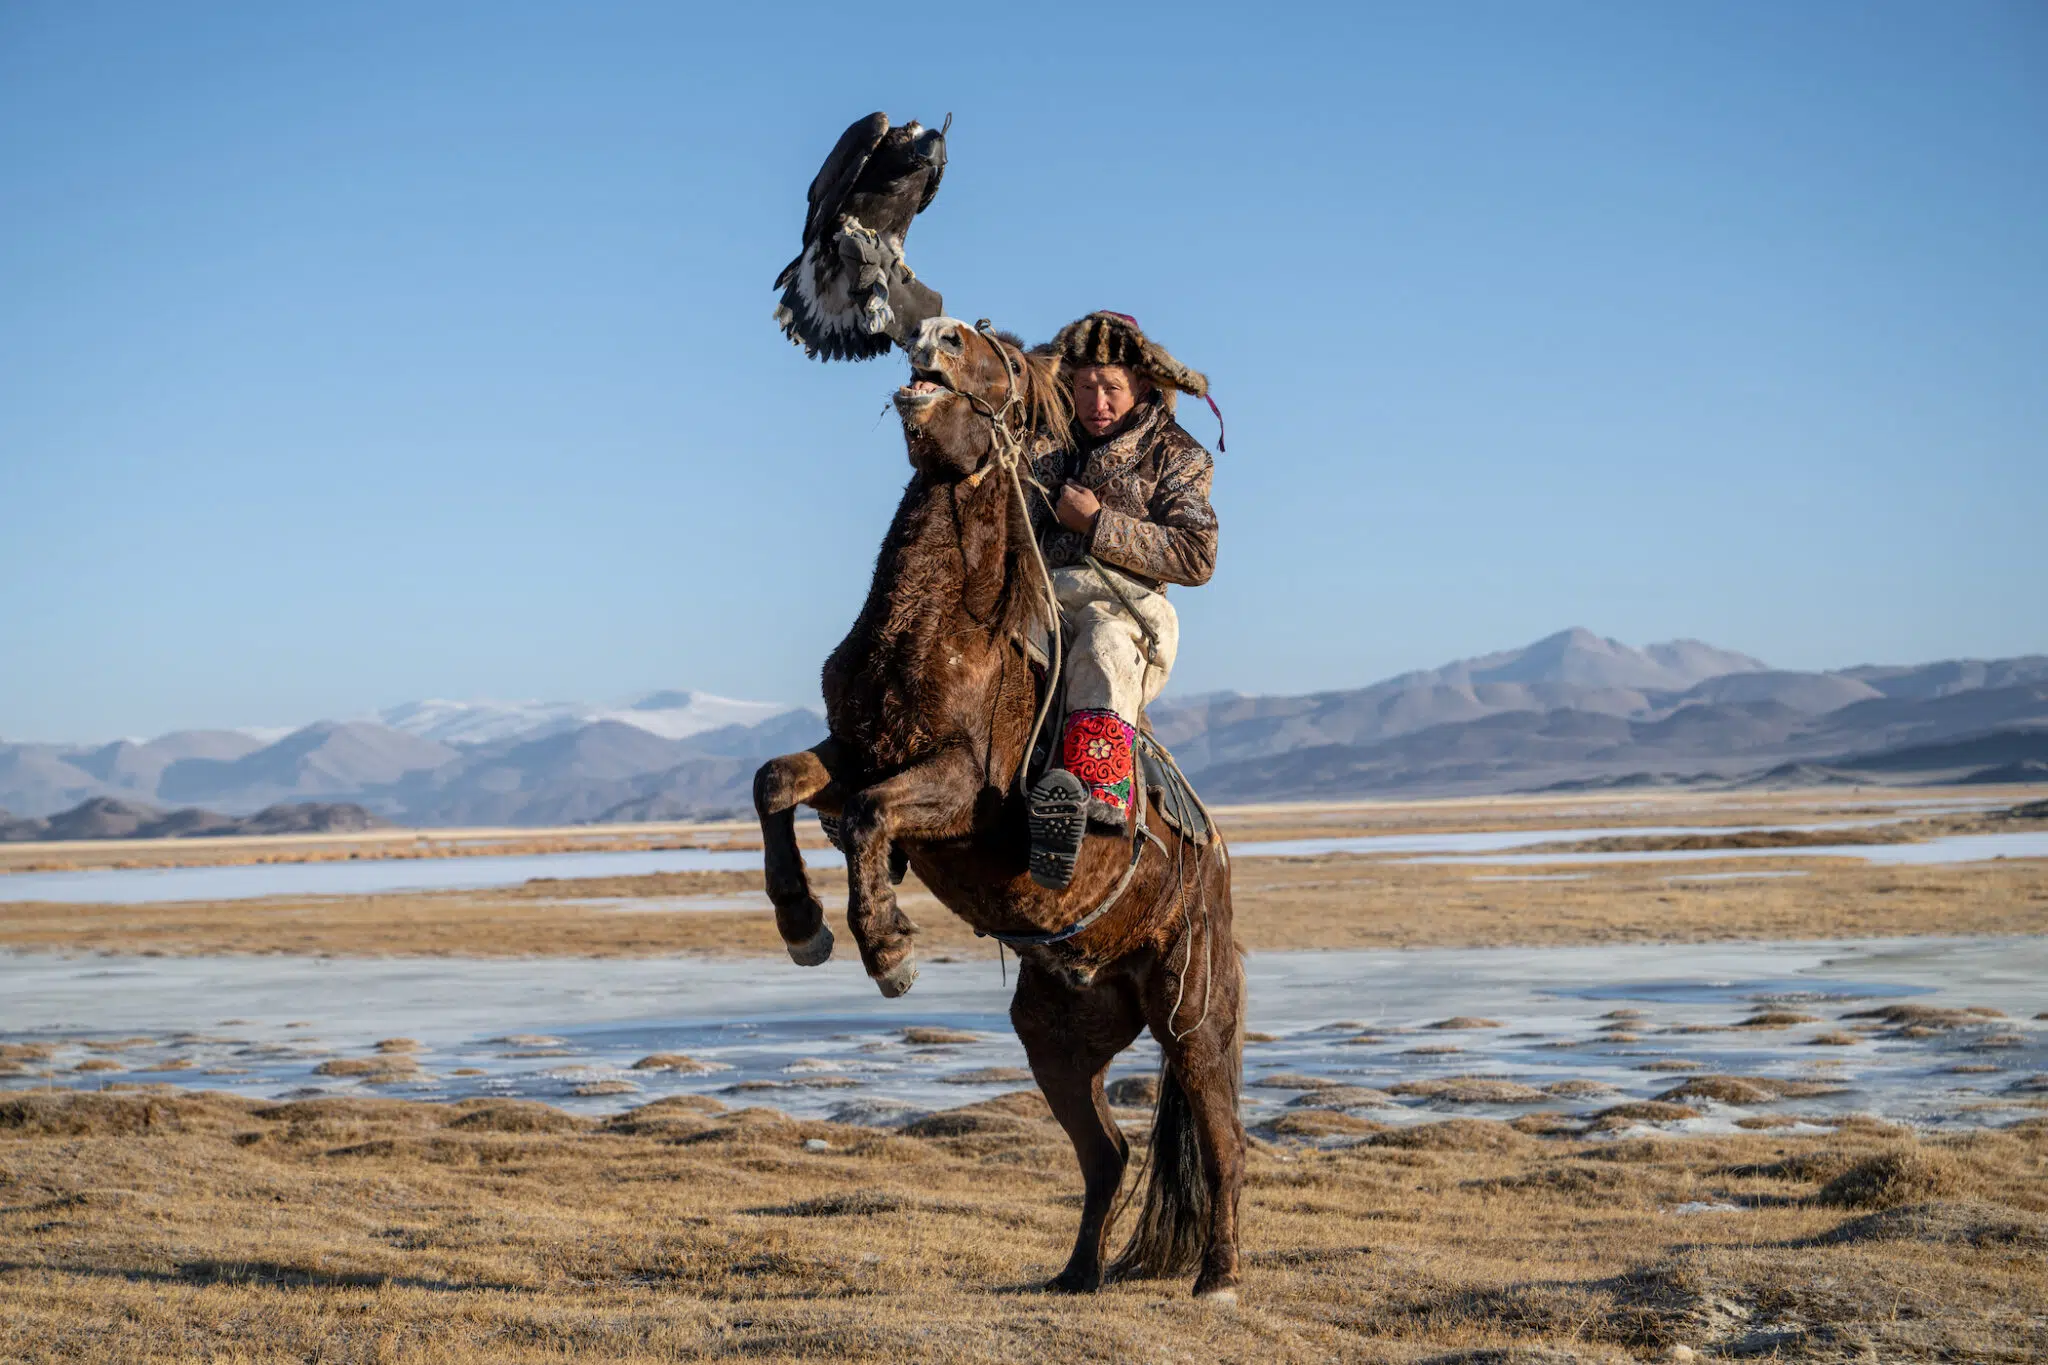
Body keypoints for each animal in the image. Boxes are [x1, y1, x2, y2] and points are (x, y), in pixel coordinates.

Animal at [751, 317, 1245, 1301]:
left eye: (1002, 360)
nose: (932, 334)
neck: (940, 627)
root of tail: (1213, 865)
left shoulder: (954, 787)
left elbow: (870, 819)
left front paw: (889, 949)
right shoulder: (853, 752)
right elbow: (776, 782)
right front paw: (803, 925)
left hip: (1192, 1016)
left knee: (1221, 1141)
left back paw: (1218, 1279)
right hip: (1057, 1041)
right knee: (1107, 1152)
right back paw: (1076, 1274)